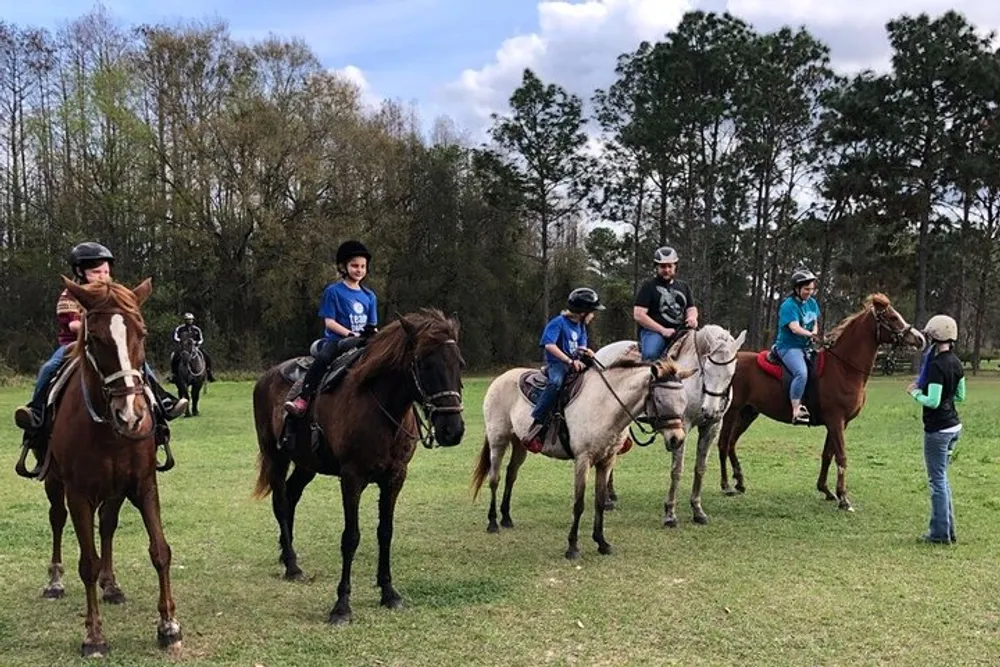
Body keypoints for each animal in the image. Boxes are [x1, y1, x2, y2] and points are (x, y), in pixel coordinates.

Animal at [31, 276, 183, 656]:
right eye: (95, 339)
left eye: (141, 333)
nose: (130, 415)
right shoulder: (78, 493)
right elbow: (87, 562)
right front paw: (94, 635)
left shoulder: (143, 484)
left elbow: (160, 550)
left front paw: (169, 625)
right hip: (55, 483)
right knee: (57, 519)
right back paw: (55, 580)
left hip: (115, 490)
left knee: (108, 525)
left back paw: (111, 583)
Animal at [254, 310, 464, 628]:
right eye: (425, 364)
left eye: (459, 364)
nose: (453, 430)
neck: (381, 408)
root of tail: (266, 377)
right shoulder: (352, 479)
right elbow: (350, 538)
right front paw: (342, 605)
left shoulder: (395, 478)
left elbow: (385, 532)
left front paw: (389, 592)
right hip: (275, 457)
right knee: (280, 504)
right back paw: (292, 566)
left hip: (306, 465)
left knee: (291, 499)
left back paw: (287, 555)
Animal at [470, 352, 692, 560]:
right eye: (660, 399)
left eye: (684, 400)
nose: (677, 439)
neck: (605, 405)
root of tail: (500, 379)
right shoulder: (582, 460)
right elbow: (579, 504)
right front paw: (572, 547)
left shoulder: (606, 461)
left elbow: (600, 502)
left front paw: (602, 543)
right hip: (498, 440)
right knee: (494, 479)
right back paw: (492, 522)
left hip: (520, 443)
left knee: (510, 476)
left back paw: (506, 518)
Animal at [588, 326, 748, 528]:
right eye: (707, 369)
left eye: (731, 373)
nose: (710, 410)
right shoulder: (682, 427)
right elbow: (676, 469)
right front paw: (670, 514)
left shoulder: (712, 427)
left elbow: (700, 468)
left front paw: (697, 510)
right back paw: (608, 500)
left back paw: (611, 495)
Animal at [720, 294, 920, 512]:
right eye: (892, 317)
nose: (920, 338)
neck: (843, 368)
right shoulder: (836, 421)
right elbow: (841, 456)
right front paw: (844, 498)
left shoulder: (838, 423)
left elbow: (827, 455)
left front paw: (826, 490)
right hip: (731, 412)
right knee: (723, 444)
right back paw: (726, 485)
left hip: (748, 413)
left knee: (731, 443)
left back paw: (739, 481)